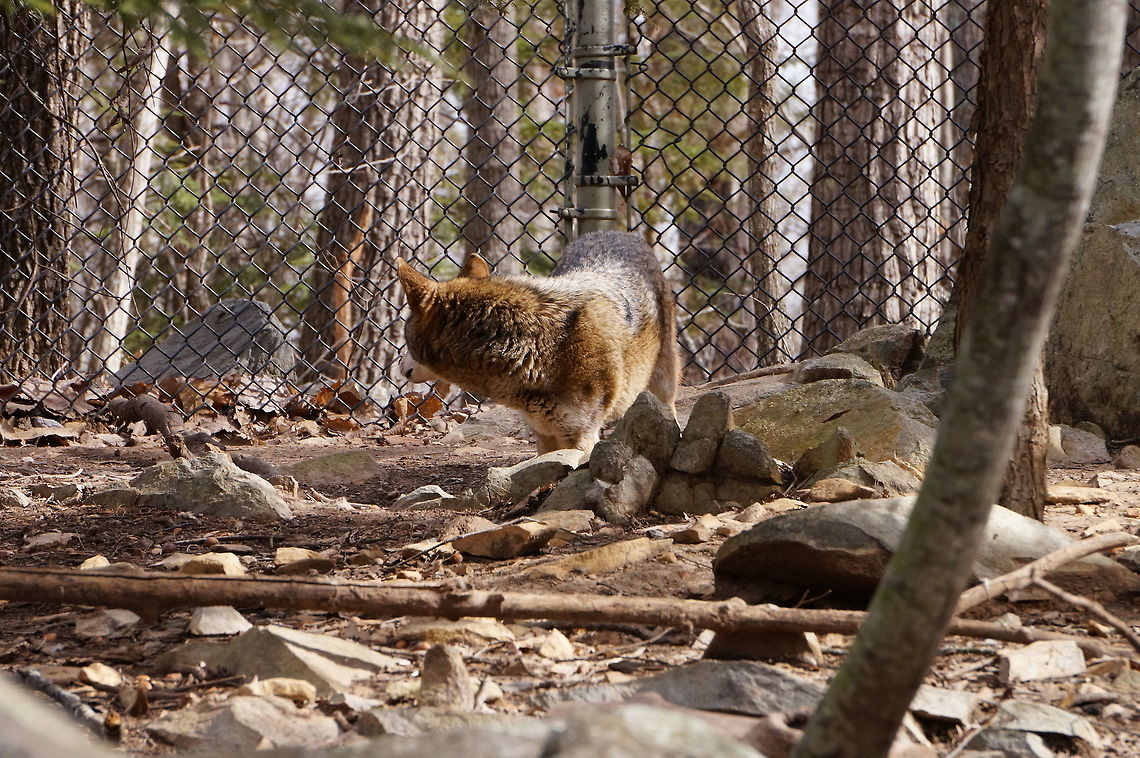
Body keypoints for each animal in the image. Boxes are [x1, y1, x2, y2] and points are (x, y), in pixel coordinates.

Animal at [396, 230, 679, 454]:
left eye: (405, 337)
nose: (399, 367)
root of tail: (617, 233)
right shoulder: (544, 433)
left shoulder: (581, 438)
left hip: (663, 385)